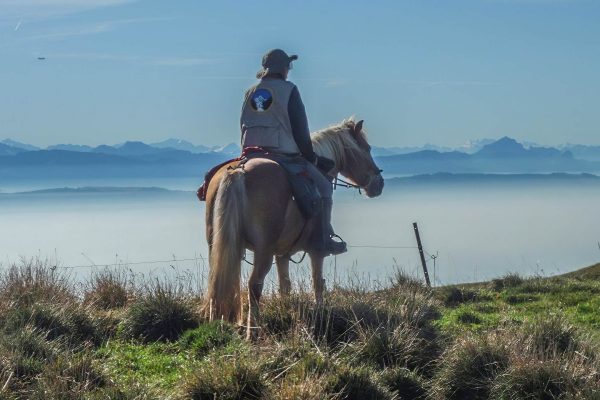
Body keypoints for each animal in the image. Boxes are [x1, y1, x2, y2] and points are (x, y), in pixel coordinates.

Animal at [204, 117, 384, 340]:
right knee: (254, 286)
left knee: (217, 281)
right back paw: (252, 332)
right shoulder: (316, 251)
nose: (379, 184)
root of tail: (239, 170)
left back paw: (215, 325)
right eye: (367, 148)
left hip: (218, 245)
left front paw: (285, 310)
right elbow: (318, 282)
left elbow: (285, 284)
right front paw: (320, 314)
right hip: (263, 251)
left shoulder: (282, 253)